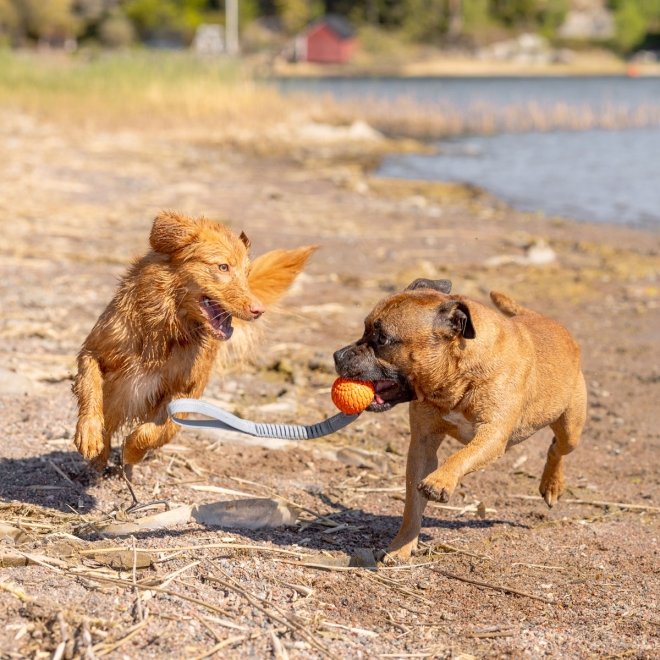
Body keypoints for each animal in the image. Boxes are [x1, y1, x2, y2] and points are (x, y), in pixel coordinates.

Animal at [73, 211, 316, 470]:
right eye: (223, 267)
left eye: (246, 273)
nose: (258, 310)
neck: (164, 329)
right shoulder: (93, 351)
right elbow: (91, 389)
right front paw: (90, 435)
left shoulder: (185, 392)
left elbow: (154, 432)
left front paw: (132, 451)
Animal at [336, 278, 588, 564]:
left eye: (382, 339)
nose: (337, 355)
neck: (458, 375)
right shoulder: (422, 445)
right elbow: (412, 506)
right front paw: (402, 546)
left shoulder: (491, 436)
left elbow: (459, 456)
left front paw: (440, 481)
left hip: (571, 427)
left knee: (558, 447)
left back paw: (551, 484)